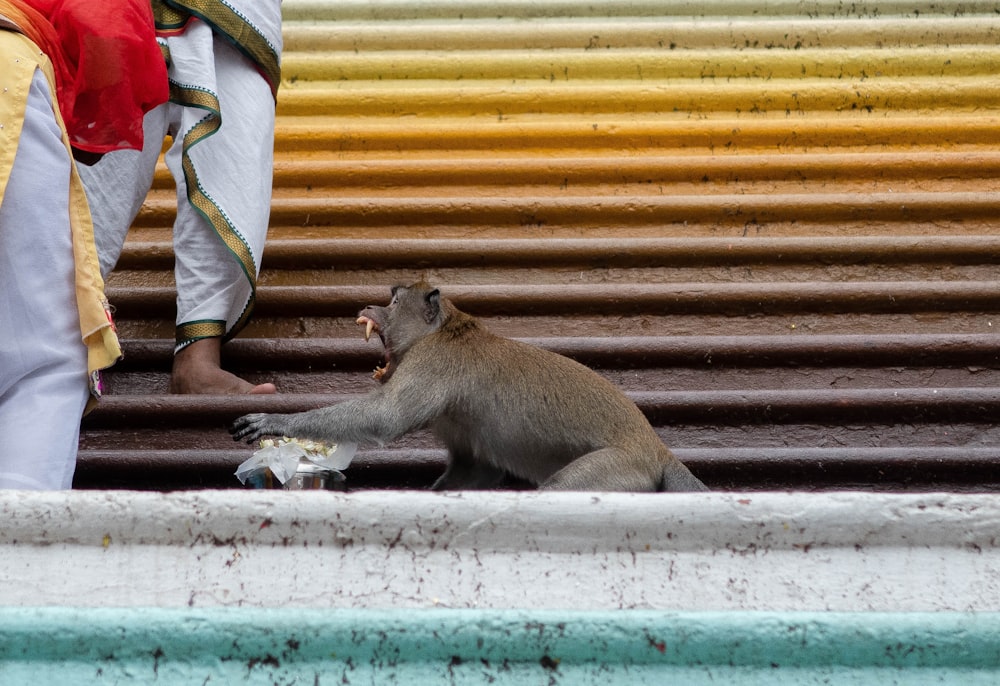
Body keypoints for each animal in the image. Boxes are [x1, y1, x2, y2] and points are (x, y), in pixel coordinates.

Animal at [230, 284, 708, 494]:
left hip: (619, 467)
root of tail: (656, 449)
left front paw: (276, 422)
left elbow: (386, 417)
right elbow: (474, 469)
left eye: (393, 300)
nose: (368, 306)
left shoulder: (432, 364)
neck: (444, 329)